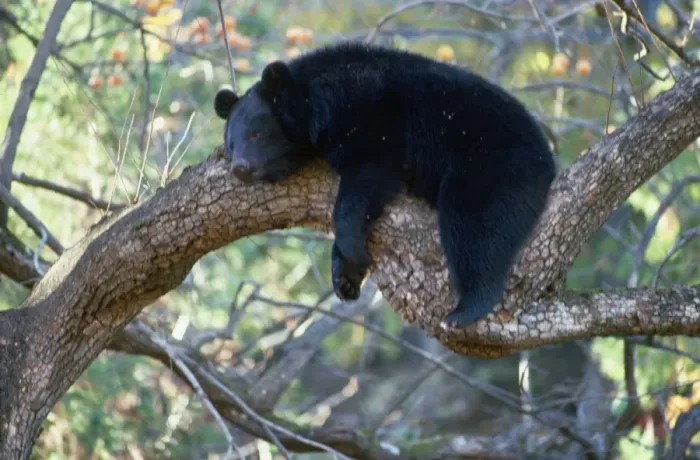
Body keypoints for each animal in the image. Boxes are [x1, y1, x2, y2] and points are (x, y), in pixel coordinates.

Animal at [213, 41, 556, 329]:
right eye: (231, 143)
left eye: (257, 134)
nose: (240, 169)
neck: (316, 102)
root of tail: (546, 156)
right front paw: (346, 277)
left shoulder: (372, 122)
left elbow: (366, 178)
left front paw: (353, 251)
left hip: (490, 164)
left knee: (477, 228)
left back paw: (465, 309)